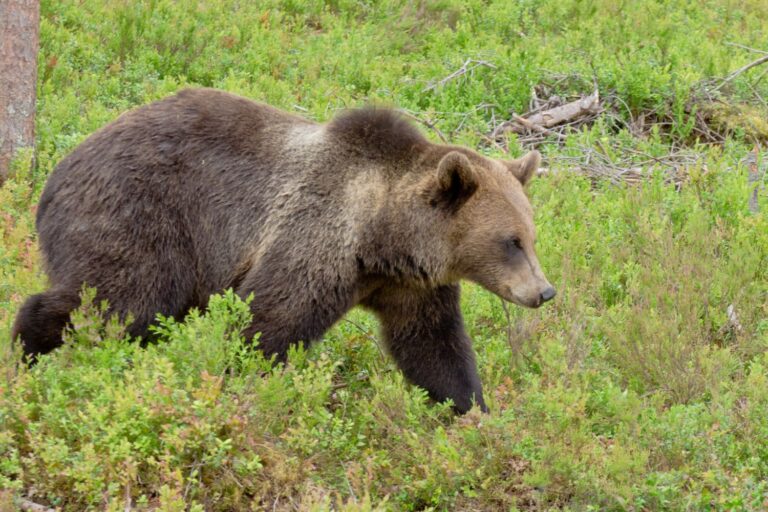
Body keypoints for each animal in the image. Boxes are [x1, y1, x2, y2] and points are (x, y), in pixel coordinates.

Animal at [12, 88, 555, 413]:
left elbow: (433, 346)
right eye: (510, 241)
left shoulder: (408, 285)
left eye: (531, 235)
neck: (379, 237)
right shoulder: (312, 240)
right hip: (142, 215)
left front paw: (471, 411)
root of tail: (57, 172)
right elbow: (269, 323)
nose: (544, 291)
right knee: (120, 299)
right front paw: (242, 385)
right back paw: (26, 352)